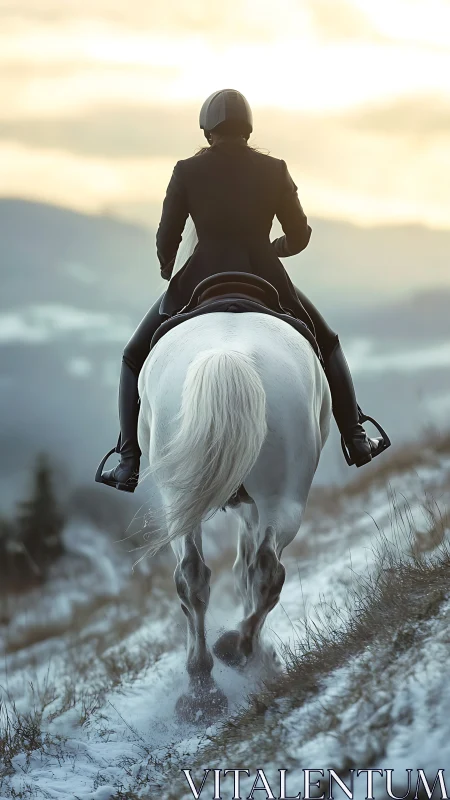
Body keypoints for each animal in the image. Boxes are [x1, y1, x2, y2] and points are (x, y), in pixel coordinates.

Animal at [137, 310, 331, 723]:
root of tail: (230, 355)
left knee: (203, 575)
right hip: (281, 497)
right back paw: (233, 659)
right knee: (264, 569)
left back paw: (207, 685)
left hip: (184, 501)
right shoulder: (251, 508)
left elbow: (241, 569)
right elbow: (244, 569)